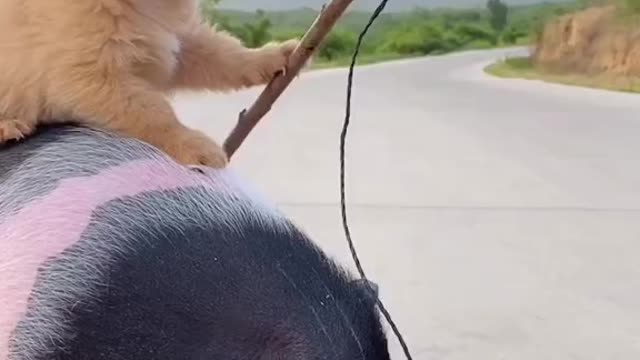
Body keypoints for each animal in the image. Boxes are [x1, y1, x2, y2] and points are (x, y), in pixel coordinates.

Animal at [0, 0, 298, 167]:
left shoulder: (181, 45)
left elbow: (225, 55)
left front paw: (271, 56)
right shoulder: (86, 77)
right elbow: (154, 112)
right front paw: (192, 145)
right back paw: (8, 126)